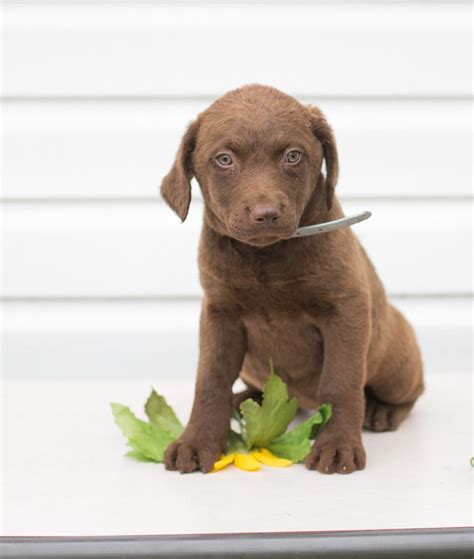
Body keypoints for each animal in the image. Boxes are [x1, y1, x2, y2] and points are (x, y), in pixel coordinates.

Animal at [159, 85, 422, 474]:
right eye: (224, 159)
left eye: (293, 156)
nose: (266, 214)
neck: (265, 258)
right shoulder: (219, 315)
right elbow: (210, 379)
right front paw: (196, 442)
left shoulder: (346, 310)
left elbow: (341, 381)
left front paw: (338, 446)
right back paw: (247, 400)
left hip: (396, 361)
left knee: (411, 391)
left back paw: (382, 411)